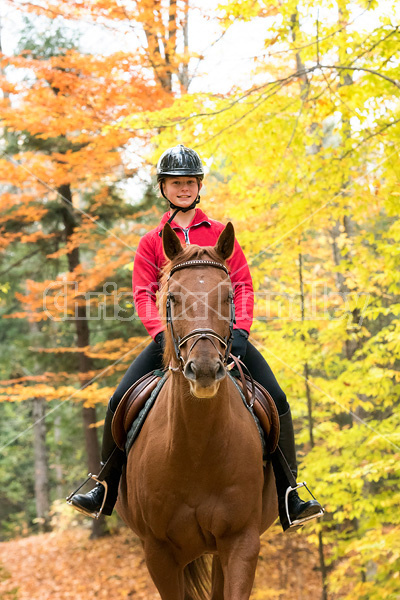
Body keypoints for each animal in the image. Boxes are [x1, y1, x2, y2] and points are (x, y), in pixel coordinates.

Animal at [117, 223, 276, 596]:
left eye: (228, 297)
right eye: (172, 298)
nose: (203, 369)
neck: (196, 449)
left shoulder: (241, 543)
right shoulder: (158, 553)